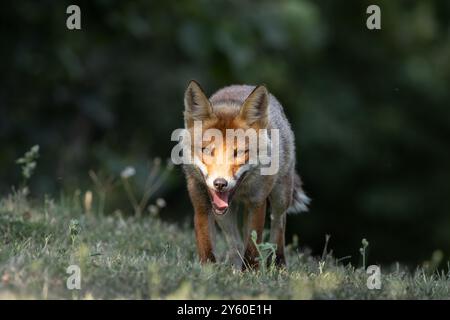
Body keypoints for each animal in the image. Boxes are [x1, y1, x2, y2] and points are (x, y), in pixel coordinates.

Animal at [181, 80, 308, 270]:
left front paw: (250, 272)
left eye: (239, 153)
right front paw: (207, 271)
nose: (220, 183)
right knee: (235, 243)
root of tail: (243, 85)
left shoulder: (257, 202)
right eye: (207, 151)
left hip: (280, 197)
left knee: (279, 225)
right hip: (224, 216)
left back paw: (278, 264)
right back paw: (235, 267)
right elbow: (207, 246)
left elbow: (252, 247)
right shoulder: (201, 203)